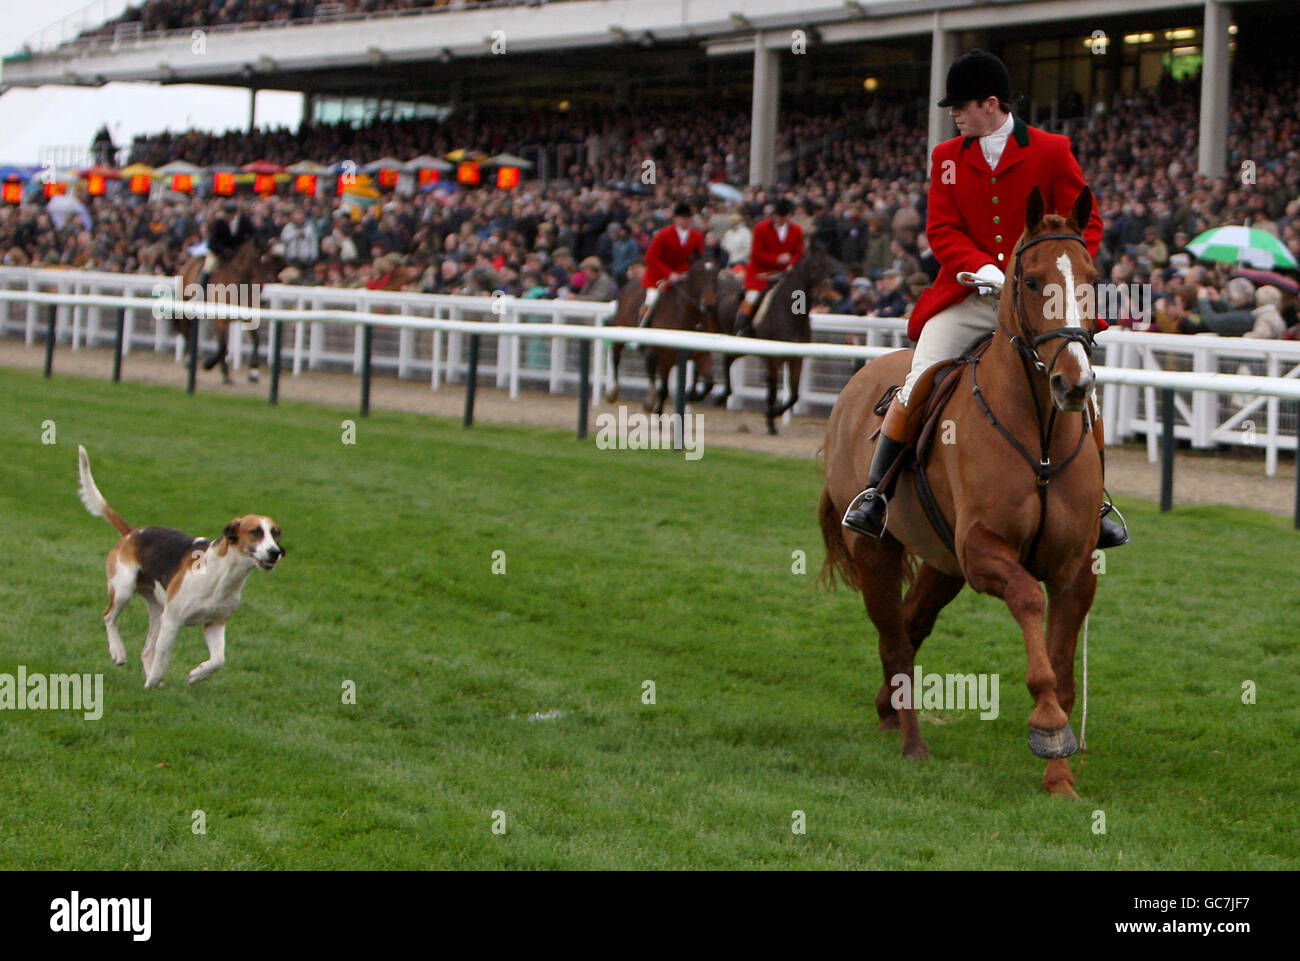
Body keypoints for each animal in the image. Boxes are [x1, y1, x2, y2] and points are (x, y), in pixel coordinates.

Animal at [603, 257, 728, 410]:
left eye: (716, 274)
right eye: (698, 273)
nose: (709, 305)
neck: (688, 317)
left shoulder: (701, 355)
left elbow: (709, 383)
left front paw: (693, 395)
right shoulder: (665, 359)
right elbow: (663, 391)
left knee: (649, 364)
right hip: (622, 329)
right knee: (616, 355)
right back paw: (614, 392)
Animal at [717, 241, 837, 434]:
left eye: (830, 267)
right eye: (814, 267)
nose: (829, 299)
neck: (792, 313)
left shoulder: (796, 358)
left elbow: (794, 395)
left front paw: (773, 414)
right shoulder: (774, 358)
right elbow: (773, 389)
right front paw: (771, 419)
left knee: (729, 360)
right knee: (728, 360)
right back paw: (722, 395)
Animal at [816, 185, 1102, 795]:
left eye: (1092, 276)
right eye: (1031, 280)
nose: (1074, 383)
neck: (1039, 433)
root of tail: (857, 380)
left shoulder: (1074, 567)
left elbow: (1063, 669)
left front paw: (1060, 776)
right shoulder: (983, 551)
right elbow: (1028, 601)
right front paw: (1047, 726)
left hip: (940, 562)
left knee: (912, 623)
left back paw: (887, 710)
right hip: (876, 551)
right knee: (896, 638)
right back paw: (912, 744)